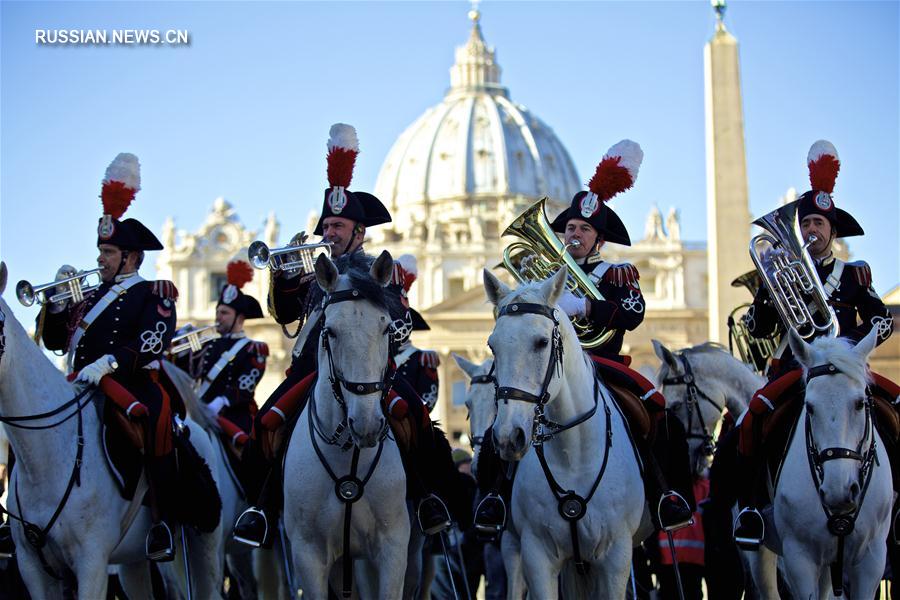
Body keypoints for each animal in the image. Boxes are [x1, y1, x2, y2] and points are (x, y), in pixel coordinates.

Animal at [486, 268, 648, 600]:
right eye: (492, 346)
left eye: (541, 342)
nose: (508, 437)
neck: (572, 454)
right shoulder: (537, 554)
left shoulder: (616, 558)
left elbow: (629, 313)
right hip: (516, 546)